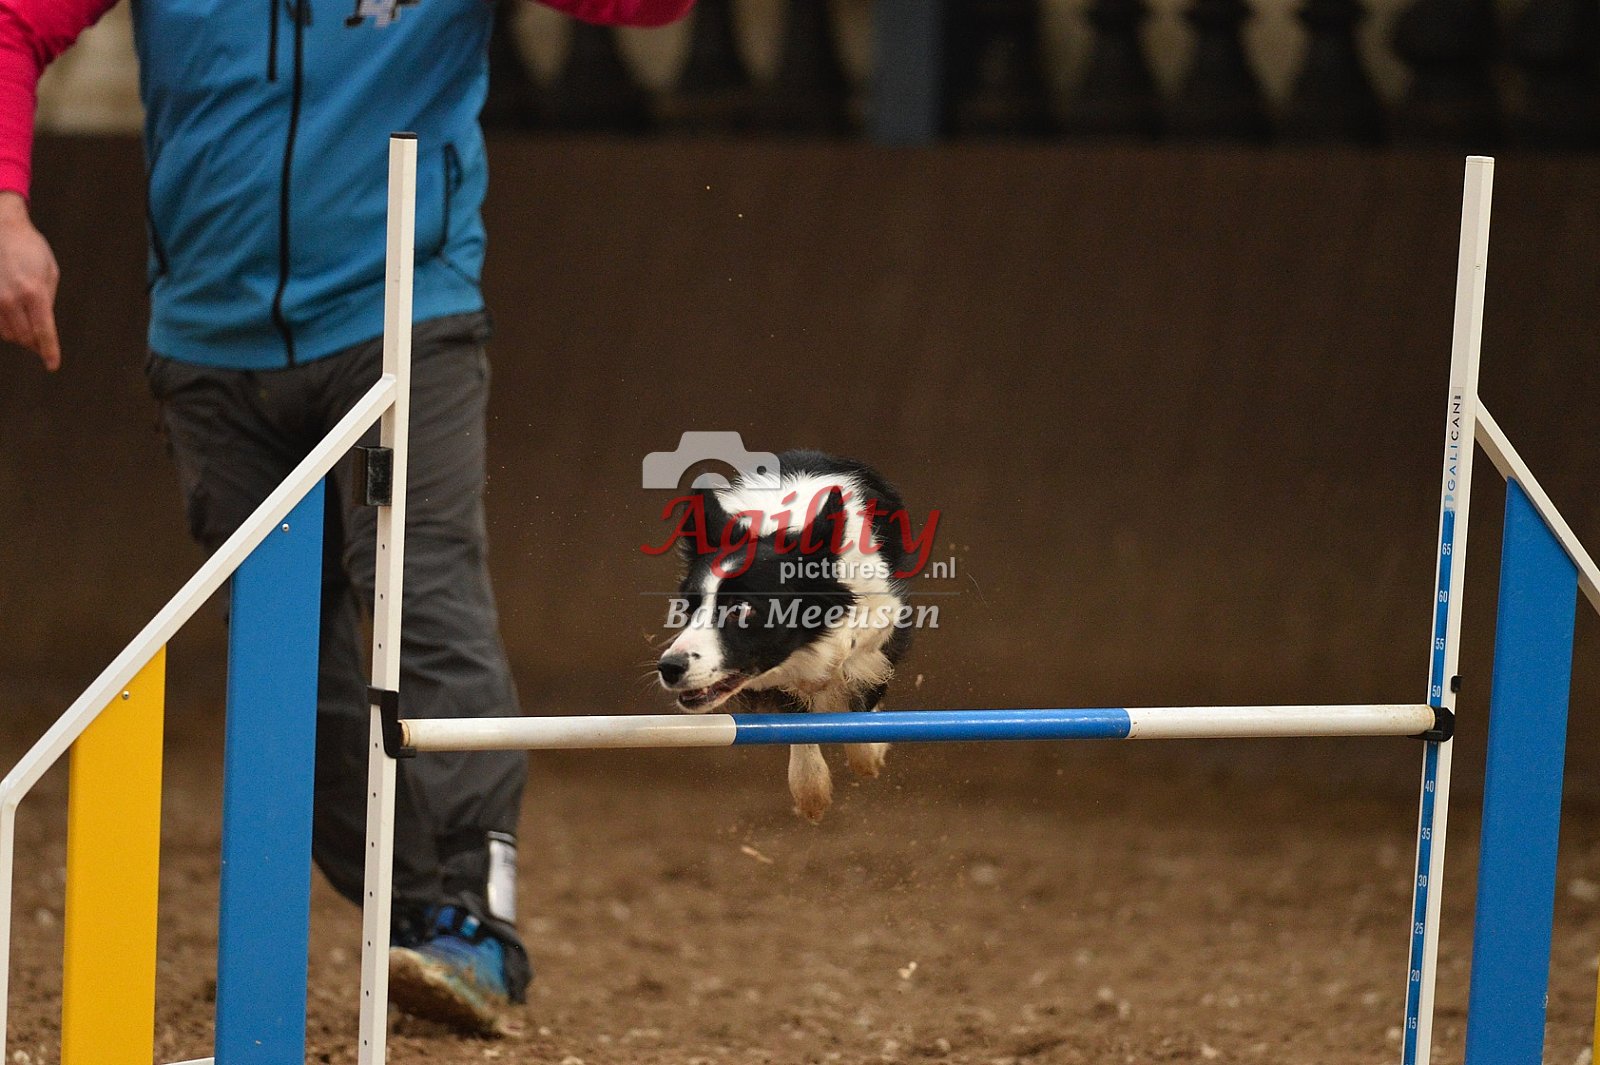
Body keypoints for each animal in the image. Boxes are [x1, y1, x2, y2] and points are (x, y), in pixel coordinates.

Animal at [654, 450, 915, 822]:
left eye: (742, 609)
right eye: (689, 605)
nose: (669, 667)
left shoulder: (885, 615)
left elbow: (862, 677)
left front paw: (868, 751)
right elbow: (796, 718)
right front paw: (811, 790)